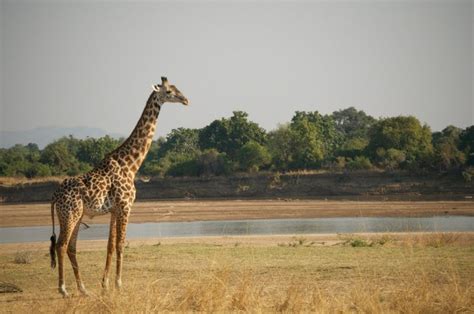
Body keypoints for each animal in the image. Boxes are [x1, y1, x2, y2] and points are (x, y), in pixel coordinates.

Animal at [49, 76, 188, 296]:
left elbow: (110, 245)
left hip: (77, 216)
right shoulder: (125, 206)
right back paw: (63, 290)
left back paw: (83, 289)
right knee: (61, 245)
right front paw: (119, 284)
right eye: (169, 92)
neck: (130, 165)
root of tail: (54, 196)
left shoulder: (114, 210)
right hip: (69, 214)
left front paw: (105, 284)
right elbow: (121, 245)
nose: (185, 100)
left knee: (71, 247)